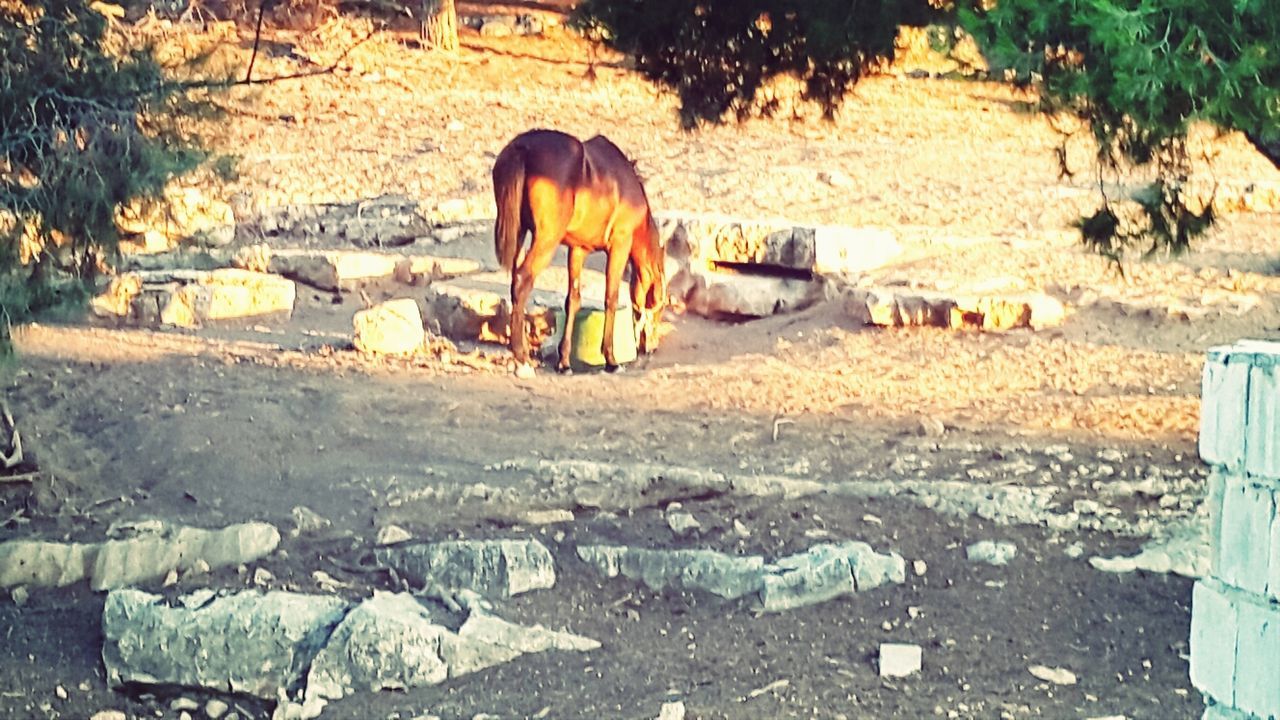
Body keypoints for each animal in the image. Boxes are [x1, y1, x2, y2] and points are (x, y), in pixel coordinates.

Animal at [491, 129, 665, 376]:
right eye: (661, 303)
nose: (652, 345)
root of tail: (522, 148)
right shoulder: (620, 245)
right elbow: (611, 297)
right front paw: (611, 359)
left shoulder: (577, 250)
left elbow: (573, 300)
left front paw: (564, 362)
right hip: (546, 239)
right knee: (523, 280)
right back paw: (521, 355)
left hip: (519, 232)